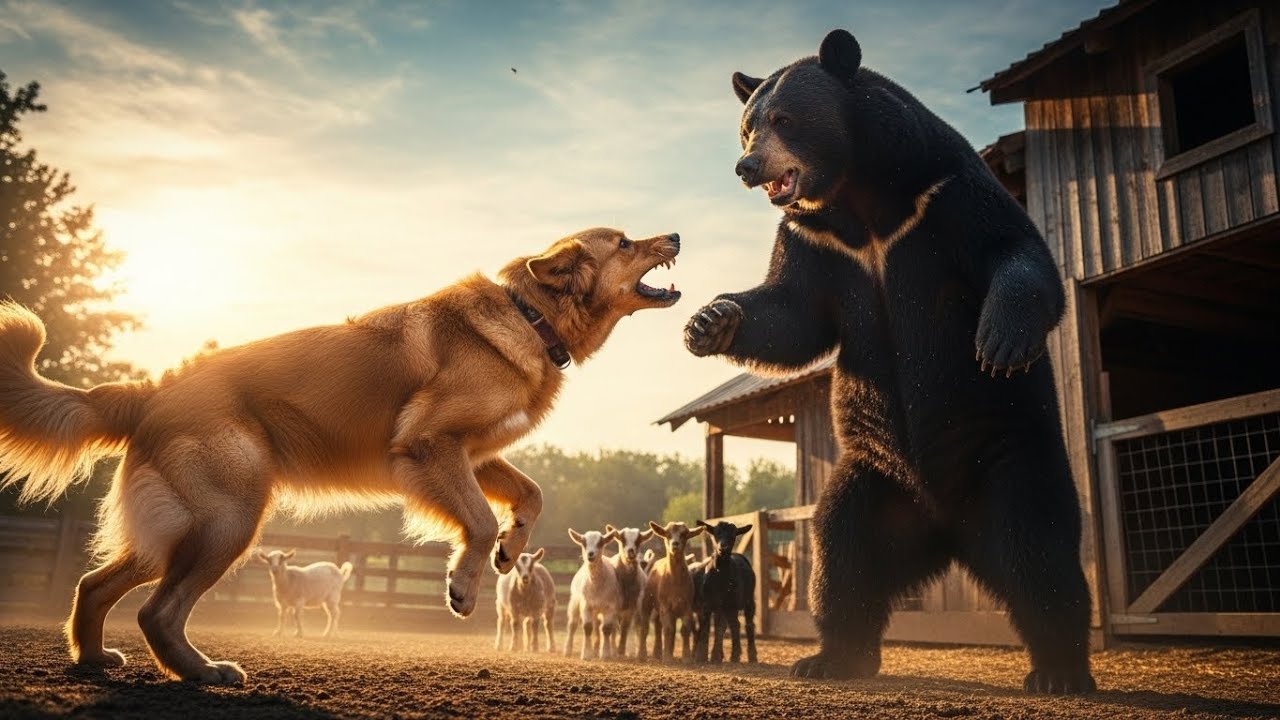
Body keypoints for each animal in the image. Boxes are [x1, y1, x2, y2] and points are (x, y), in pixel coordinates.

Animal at [564, 529, 621, 660]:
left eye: (600, 543)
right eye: (583, 543)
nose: (590, 554)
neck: (596, 585)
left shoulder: (610, 607)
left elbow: (606, 629)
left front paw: (605, 654)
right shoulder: (586, 605)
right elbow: (587, 627)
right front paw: (586, 654)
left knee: (601, 627)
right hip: (575, 601)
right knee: (572, 624)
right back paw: (568, 650)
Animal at [604, 524, 652, 657]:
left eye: (638, 540)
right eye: (622, 540)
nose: (631, 552)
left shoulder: (631, 607)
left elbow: (625, 627)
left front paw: (621, 649)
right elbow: (614, 628)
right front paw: (615, 650)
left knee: (639, 627)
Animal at [637, 521, 704, 662]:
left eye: (684, 534)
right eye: (667, 534)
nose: (675, 544)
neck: (675, 582)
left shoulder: (687, 606)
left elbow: (684, 629)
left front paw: (686, 657)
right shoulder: (665, 606)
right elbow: (667, 629)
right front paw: (667, 657)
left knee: (660, 627)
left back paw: (659, 653)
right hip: (647, 601)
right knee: (645, 626)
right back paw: (642, 654)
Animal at [691, 521, 757, 664]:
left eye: (733, 535)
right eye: (716, 534)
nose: (723, 548)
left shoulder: (729, 603)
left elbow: (723, 628)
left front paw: (715, 656)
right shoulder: (707, 603)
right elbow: (707, 627)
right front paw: (702, 656)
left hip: (748, 600)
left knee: (746, 624)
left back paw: (749, 656)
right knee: (730, 624)